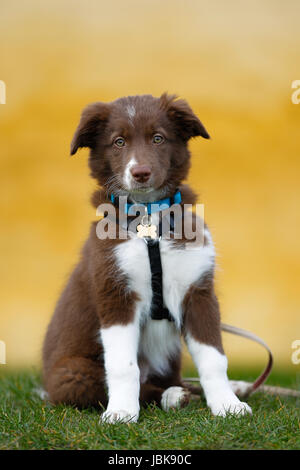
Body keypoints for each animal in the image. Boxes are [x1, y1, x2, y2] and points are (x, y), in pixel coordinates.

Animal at [43, 92, 252, 422]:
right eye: (118, 142)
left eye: (158, 138)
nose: (140, 173)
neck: (149, 221)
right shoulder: (115, 293)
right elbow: (122, 366)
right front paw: (121, 412)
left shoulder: (199, 291)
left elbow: (213, 357)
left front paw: (227, 404)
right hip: (72, 374)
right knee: (123, 384)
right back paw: (172, 396)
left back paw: (232, 387)